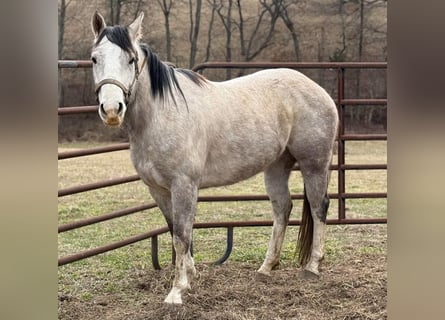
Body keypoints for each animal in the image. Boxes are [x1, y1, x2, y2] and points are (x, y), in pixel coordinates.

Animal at [92, 11, 338, 304]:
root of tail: (318, 90)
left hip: (314, 164)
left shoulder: (184, 185)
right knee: (282, 209)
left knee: (319, 206)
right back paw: (266, 268)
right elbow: (175, 230)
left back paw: (312, 267)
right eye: (94, 58)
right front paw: (190, 275)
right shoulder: (158, 190)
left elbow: (181, 236)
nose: (111, 110)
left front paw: (177, 291)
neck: (161, 114)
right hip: (277, 166)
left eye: (130, 59)